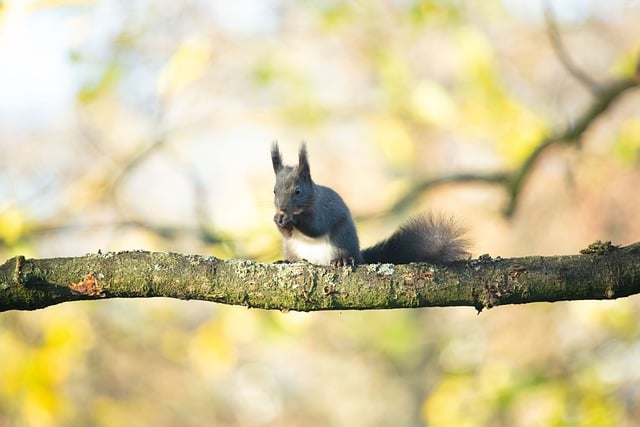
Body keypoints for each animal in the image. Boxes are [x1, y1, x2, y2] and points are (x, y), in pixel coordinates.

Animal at [270, 142, 470, 266]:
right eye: (274, 191)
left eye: (298, 191)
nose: (282, 209)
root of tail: (360, 257)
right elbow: (287, 234)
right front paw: (278, 220)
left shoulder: (323, 210)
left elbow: (316, 227)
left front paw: (293, 220)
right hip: (292, 249)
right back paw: (286, 261)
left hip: (342, 240)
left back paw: (343, 260)